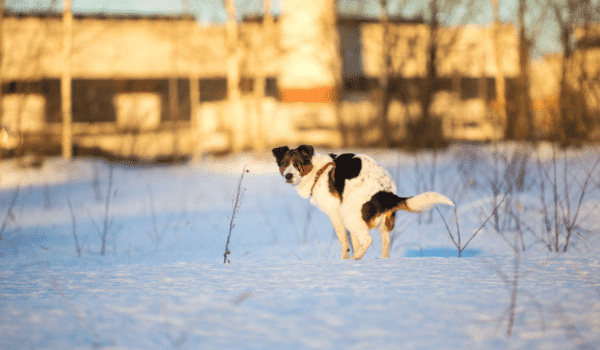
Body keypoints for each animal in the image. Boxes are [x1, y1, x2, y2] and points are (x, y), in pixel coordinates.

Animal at [274, 145, 454, 260]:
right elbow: (354, 241)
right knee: (385, 242)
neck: (318, 171)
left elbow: (345, 242)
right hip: (382, 222)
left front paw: (345, 260)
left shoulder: (334, 213)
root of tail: (387, 193)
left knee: (368, 240)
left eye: (297, 164)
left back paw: (356, 258)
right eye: (284, 165)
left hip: (347, 212)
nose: (288, 176)